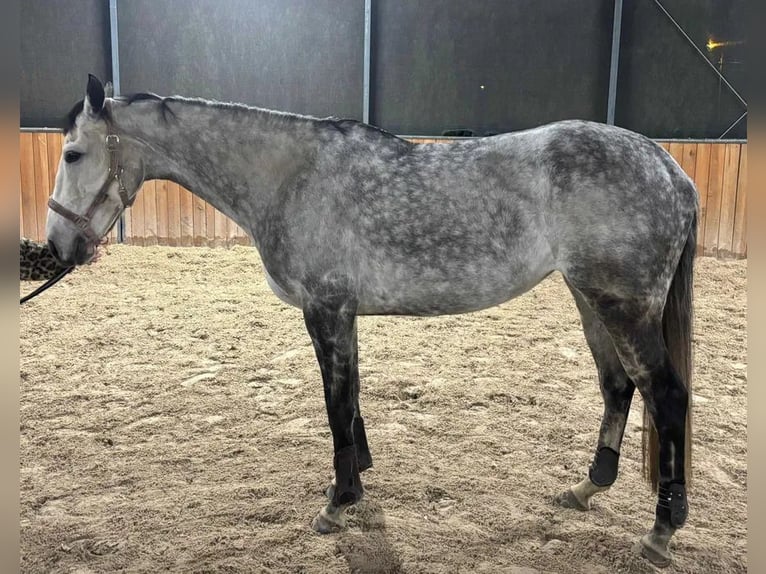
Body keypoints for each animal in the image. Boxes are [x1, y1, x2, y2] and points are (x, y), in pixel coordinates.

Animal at [46, 75, 697, 567]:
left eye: (73, 154)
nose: (57, 246)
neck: (290, 177)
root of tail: (670, 168)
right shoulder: (345, 314)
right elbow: (352, 396)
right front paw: (356, 478)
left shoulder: (325, 310)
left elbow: (335, 402)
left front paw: (337, 502)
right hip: (590, 299)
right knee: (617, 386)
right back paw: (586, 488)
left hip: (623, 307)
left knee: (665, 395)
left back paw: (661, 531)